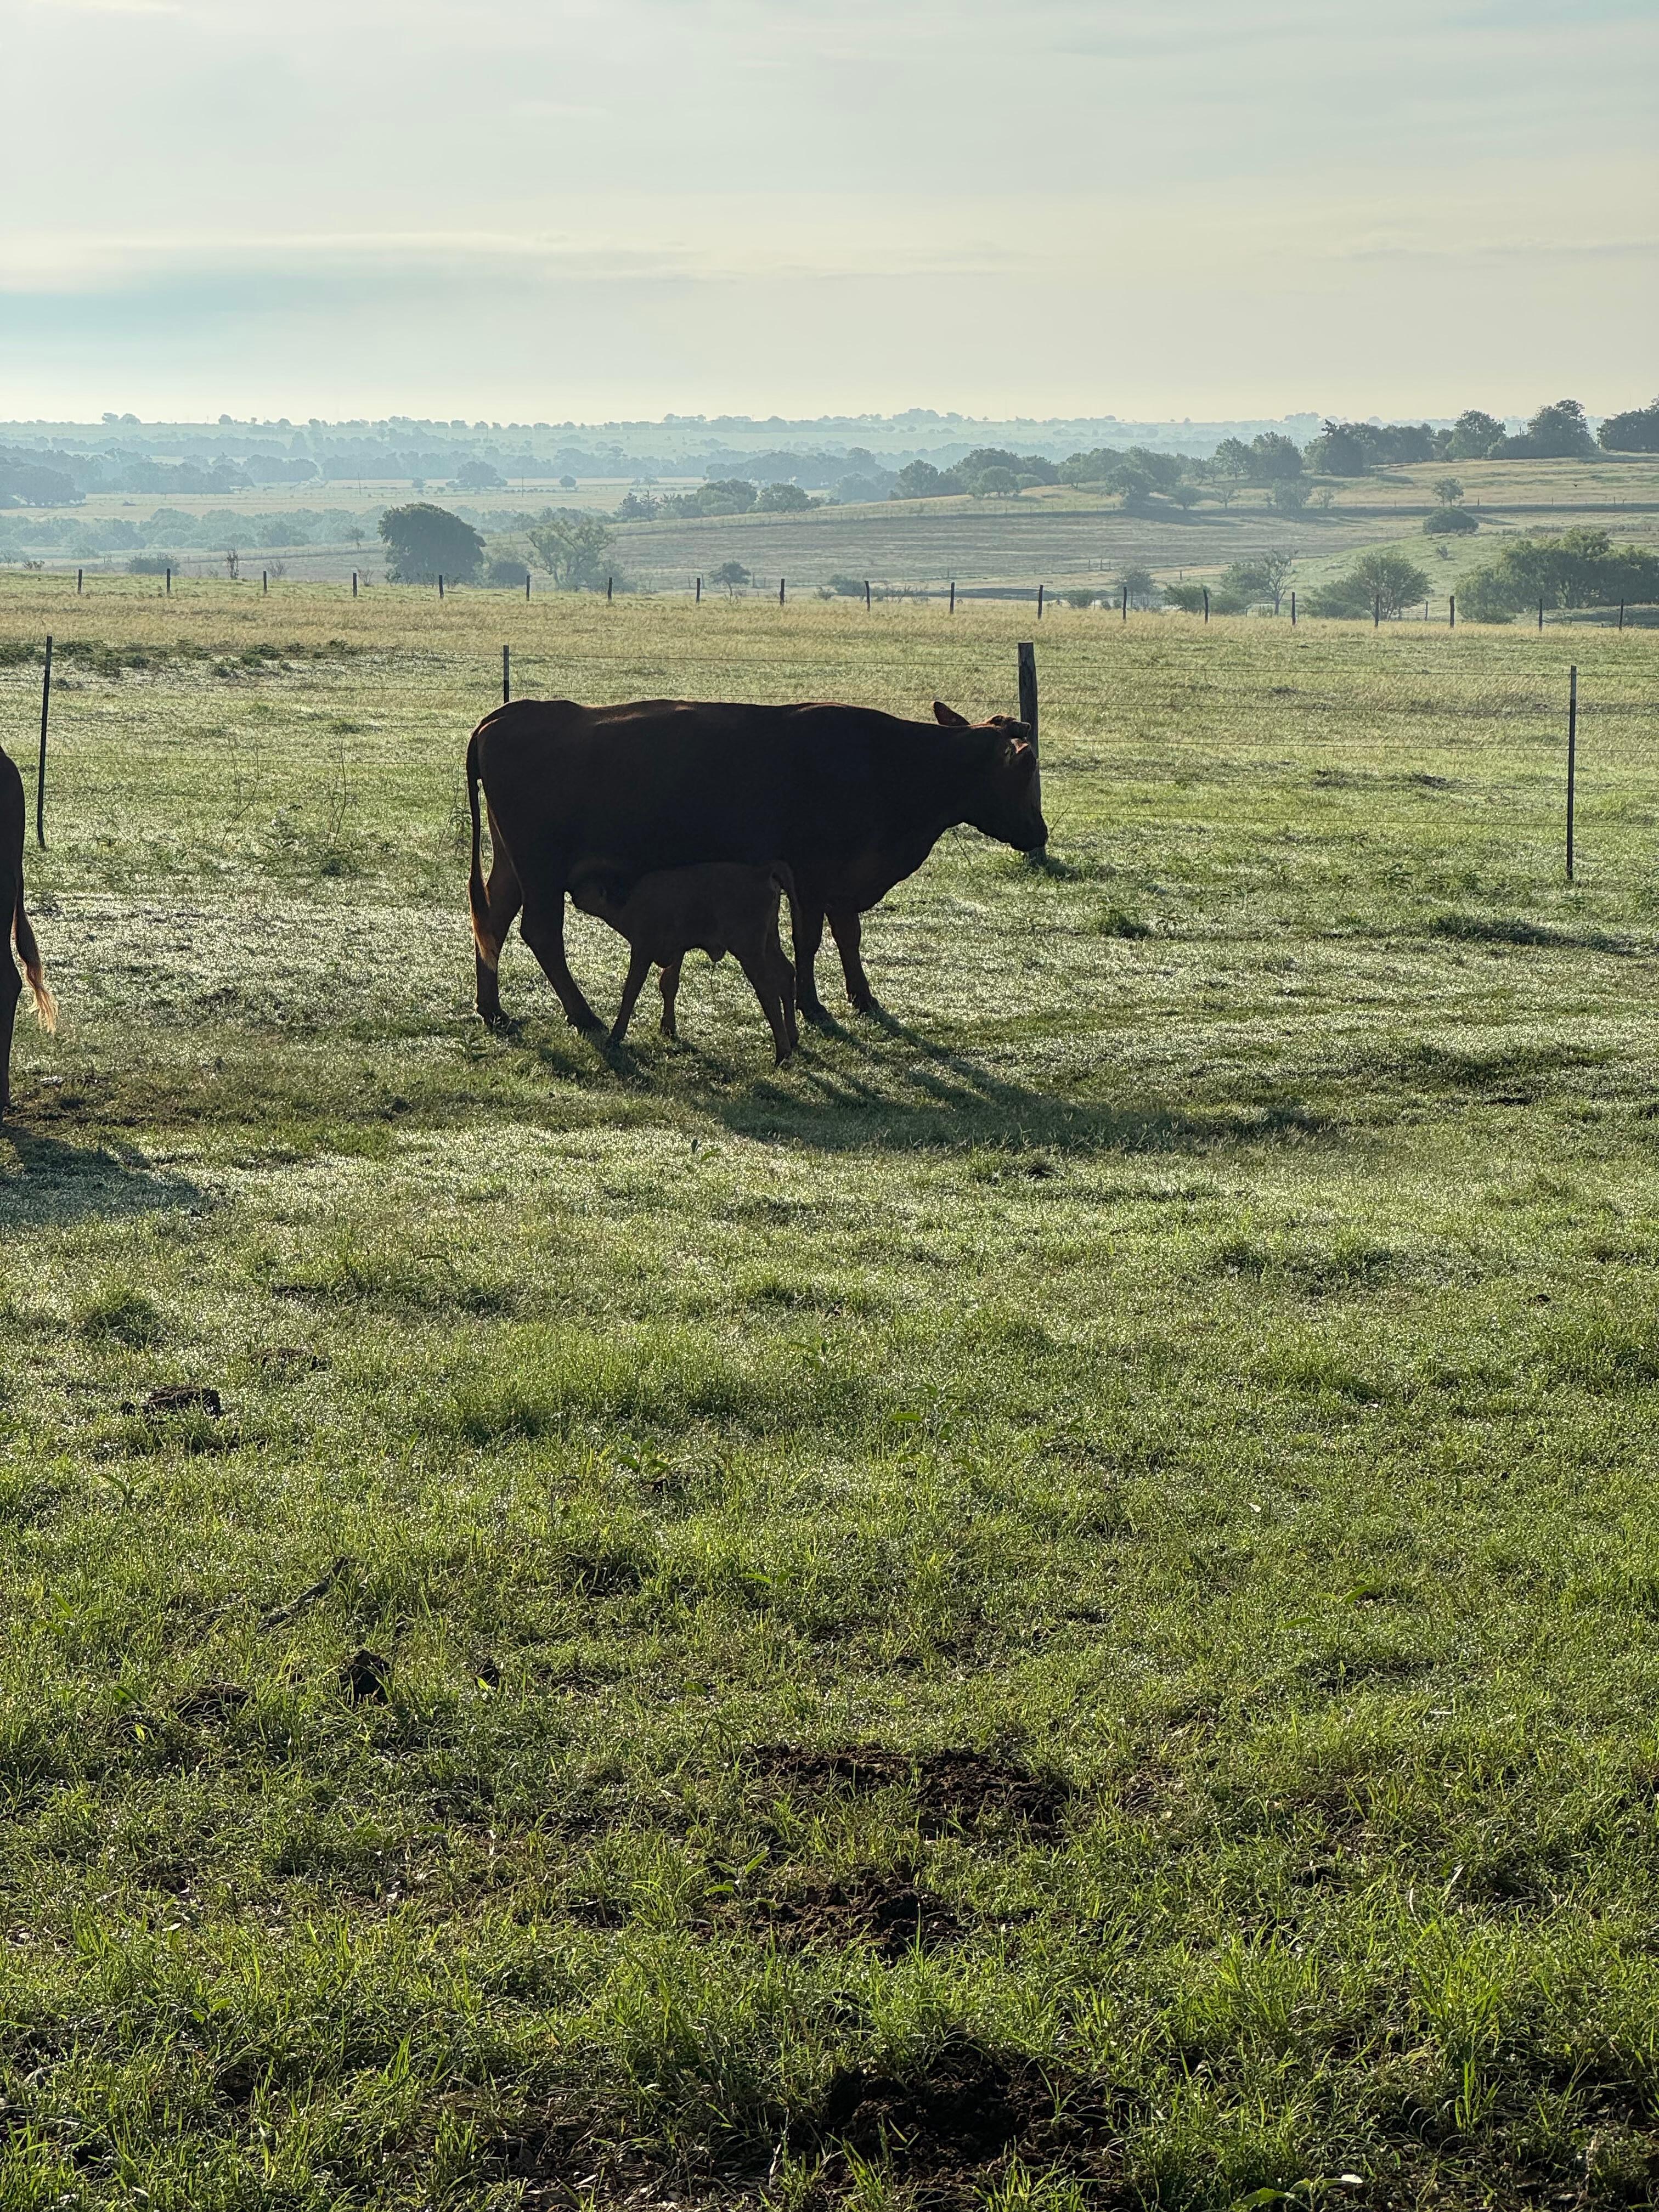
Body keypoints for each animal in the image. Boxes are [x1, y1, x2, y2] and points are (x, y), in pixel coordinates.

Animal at [466, 696, 1045, 1031]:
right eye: (1026, 766)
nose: (1039, 833)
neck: (885, 762)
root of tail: (506, 714)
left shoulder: (841, 877)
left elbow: (849, 936)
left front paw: (863, 997)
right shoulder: (811, 873)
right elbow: (810, 940)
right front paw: (813, 1005)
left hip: (513, 866)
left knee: (493, 920)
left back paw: (491, 1008)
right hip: (540, 868)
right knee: (541, 933)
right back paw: (583, 1015)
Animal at [569, 861, 799, 1062]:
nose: (573, 892)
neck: (630, 896)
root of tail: (764, 872)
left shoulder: (643, 949)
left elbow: (631, 990)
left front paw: (616, 1036)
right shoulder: (676, 950)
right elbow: (669, 984)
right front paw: (668, 1027)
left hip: (750, 952)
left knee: (769, 992)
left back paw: (783, 1054)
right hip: (770, 942)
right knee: (787, 973)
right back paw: (793, 1037)